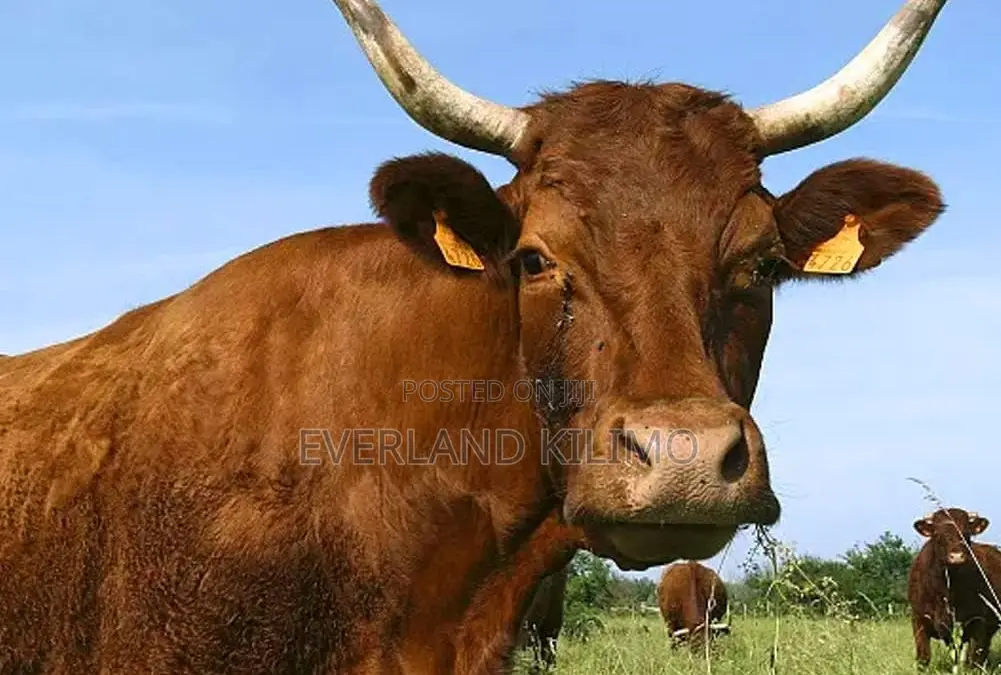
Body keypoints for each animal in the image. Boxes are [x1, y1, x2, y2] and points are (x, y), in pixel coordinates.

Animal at [908, 508, 1001, 668]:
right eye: (937, 534)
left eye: (966, 533)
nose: (957, 556)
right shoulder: (918, 618)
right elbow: (923, 658)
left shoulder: (977, 621)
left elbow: (973, 659)